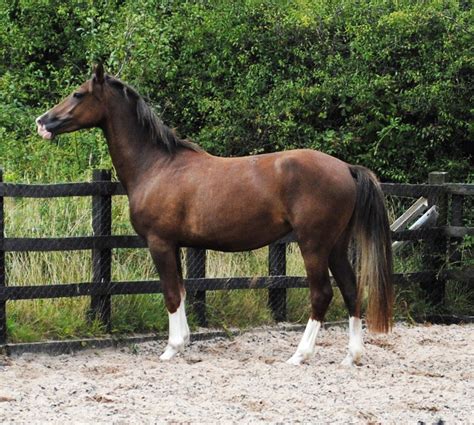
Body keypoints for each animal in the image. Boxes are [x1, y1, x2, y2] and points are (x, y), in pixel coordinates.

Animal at [36, 64, 392, 366]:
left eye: (78, 94)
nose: (43, 122)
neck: (157, 165)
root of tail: (345, 168)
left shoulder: (159, 243)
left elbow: (170, 293)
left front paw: (171, 349)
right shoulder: (175, 245)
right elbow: (180, 291)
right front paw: (182, 342)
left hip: (313, 245)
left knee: (322, 294)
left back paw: (299, 355)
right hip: (336, 246)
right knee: (350, 289)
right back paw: (352, 356)